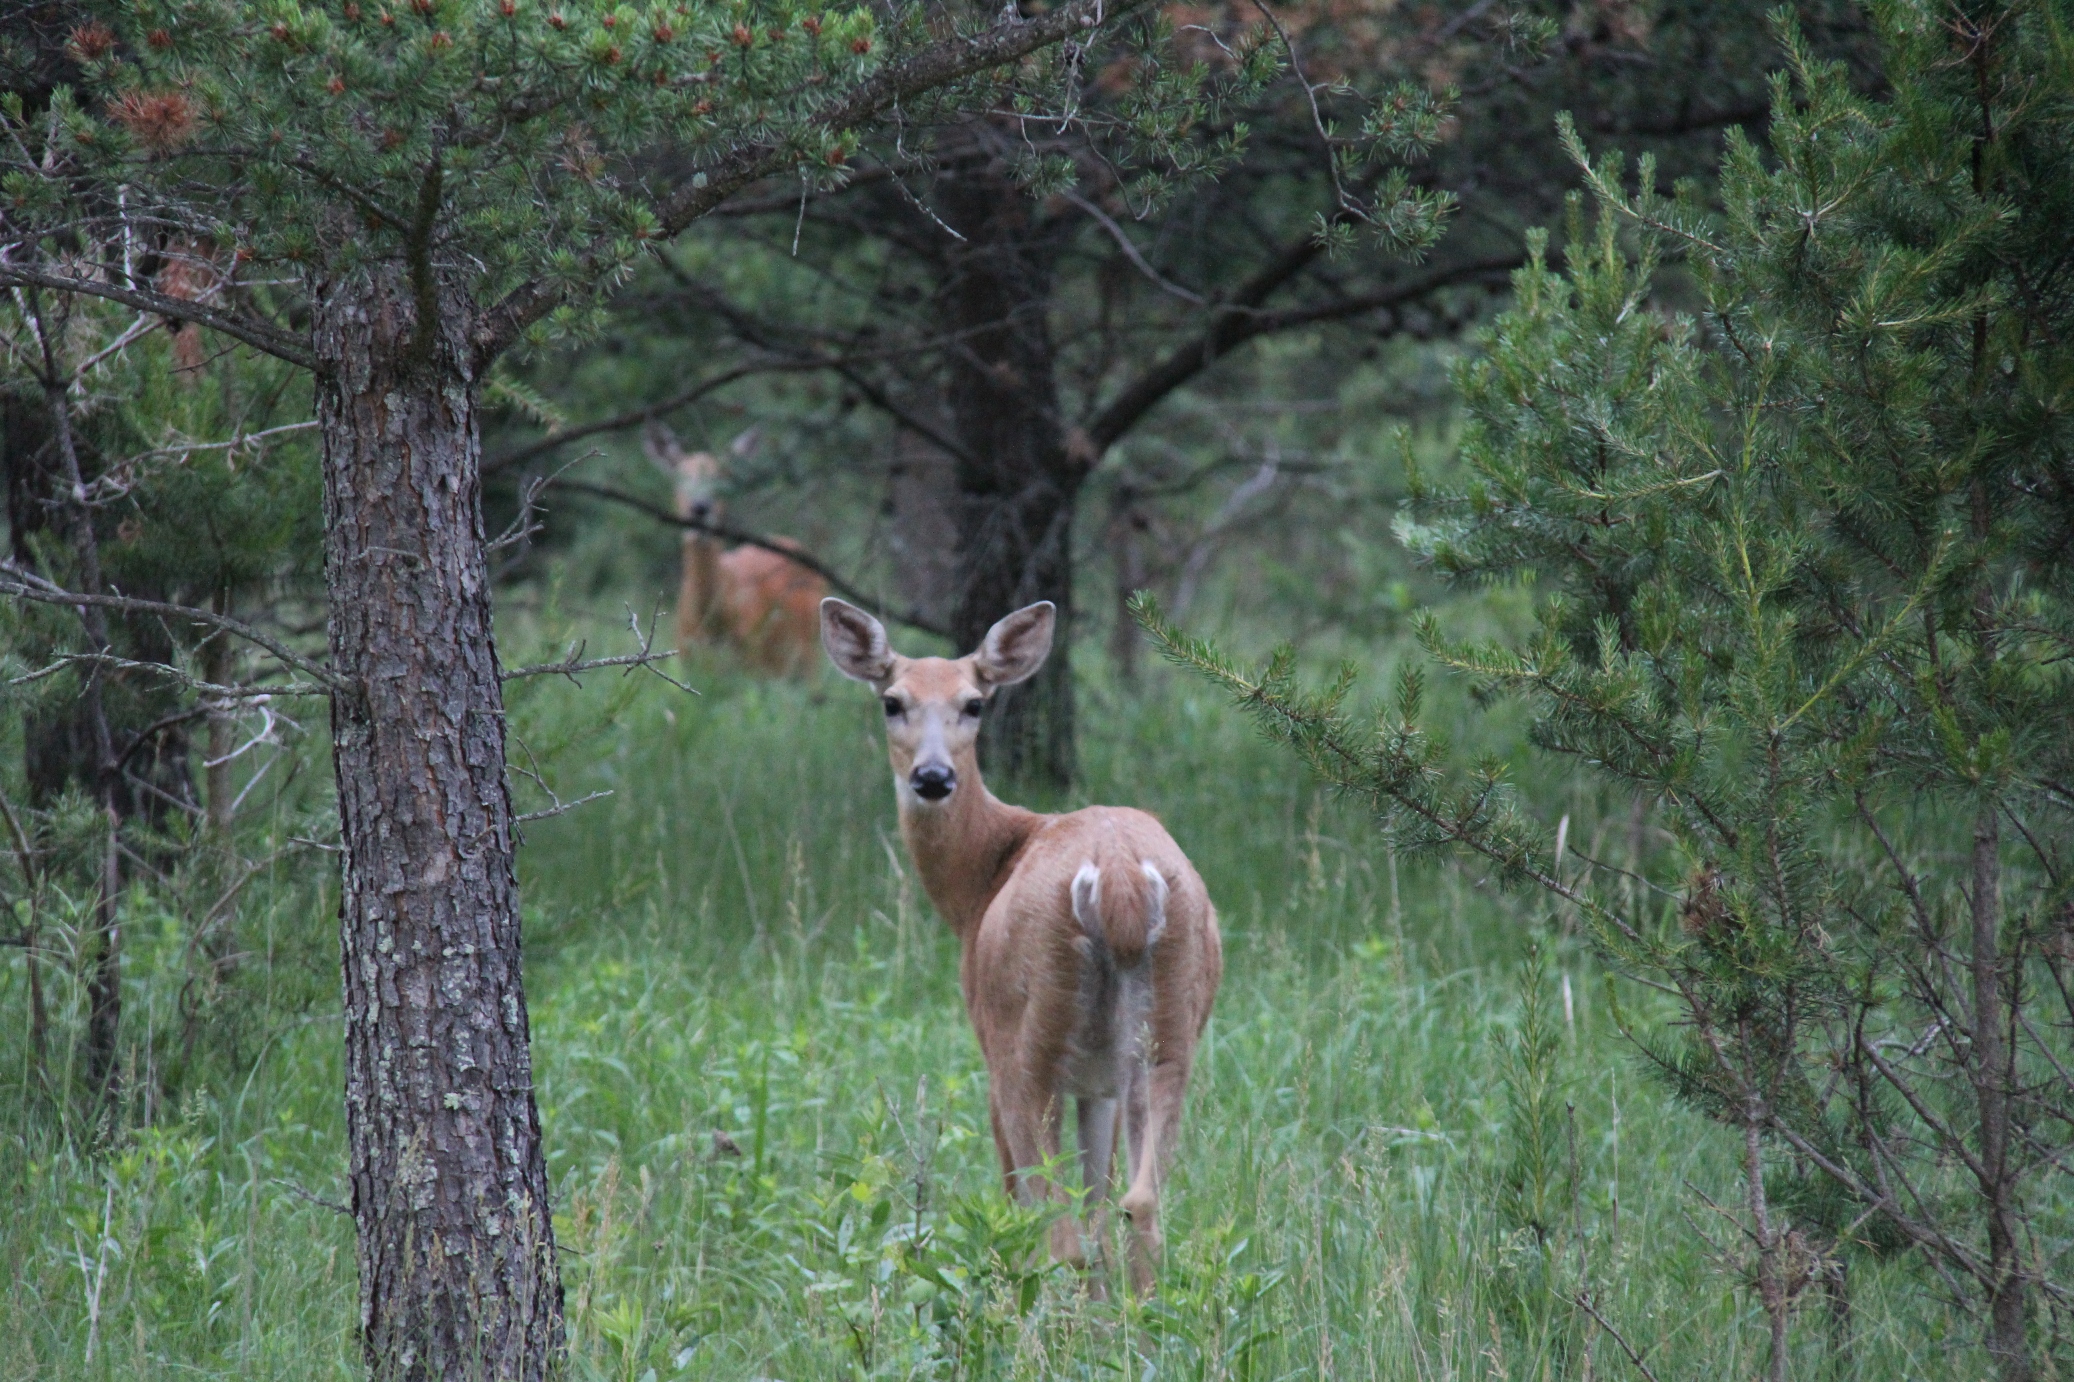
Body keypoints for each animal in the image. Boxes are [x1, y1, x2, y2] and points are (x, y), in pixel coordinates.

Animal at [643, 422, 827, 676]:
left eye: (723, 477)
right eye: (680, 477)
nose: (700, 508)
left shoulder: (752, 660)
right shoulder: (684, 657)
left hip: (809, 649)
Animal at [820, 597, 1223, 1295]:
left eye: (975, 703)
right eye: (892, 701)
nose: (932, 776)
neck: (981, 879)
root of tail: (1119, 875)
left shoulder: (992, 1046)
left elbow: (1026, 1202)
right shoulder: (1099, 1082)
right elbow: (1100, 1201)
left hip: (1029, 1035)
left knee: (1054, 1227)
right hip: (1170, 1028)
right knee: (1138, 1204)